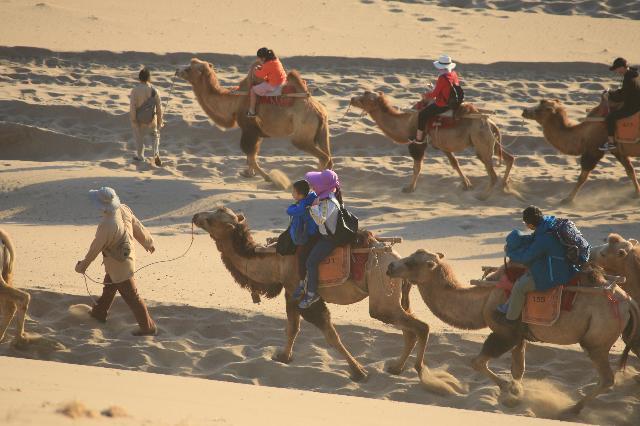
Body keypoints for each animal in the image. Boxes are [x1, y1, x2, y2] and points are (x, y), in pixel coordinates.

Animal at [178, 57, 332, 180]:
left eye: (188, 68)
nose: (177, 71)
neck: (234, 101)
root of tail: (319, 111)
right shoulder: (256, 132)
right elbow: (251, 156)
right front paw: (248, 174)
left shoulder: (249, 129)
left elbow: (250, 155)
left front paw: (269, 178)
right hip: (322, 131)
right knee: (328, 157)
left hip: (302, 134)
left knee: (323, 156)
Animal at [191, 208, 460, 392]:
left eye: (213, 219)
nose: (195, 216)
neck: (274, 261)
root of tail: (394, 258)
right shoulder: (291, 292)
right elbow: (293, 327)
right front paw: (283, 357)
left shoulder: (302, 292)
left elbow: (329, 334)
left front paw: (359, 372)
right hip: (397, 296)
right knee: (409, 329)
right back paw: (396, 368)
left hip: (381, 294)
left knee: (419, 327)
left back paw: (421, 373)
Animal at [348, 91, 516, 198]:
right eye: (364, 93)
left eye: (365, 99)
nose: (352, 98)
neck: (406, 123)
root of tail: (491, 123)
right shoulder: (443, 146)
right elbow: (454, 163)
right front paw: (467, 184)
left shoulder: (418, 143)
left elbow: (416, 167)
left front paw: (409, 188)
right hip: (491, 142)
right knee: (509, 158)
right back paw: (504, 186)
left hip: (481, 143)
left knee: (492, 173)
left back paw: (483, 196)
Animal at [384, 248, 640, 418]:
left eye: (413, 262)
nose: (390, 267)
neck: (484, 298)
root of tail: (627, 302)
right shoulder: (520, 335)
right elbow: (518, 368)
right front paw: (516, 393)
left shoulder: (504, 333)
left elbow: (477, 362)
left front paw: (509, 390)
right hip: (625, 334)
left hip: (597, 338)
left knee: (606, 378)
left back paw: (571, 408)